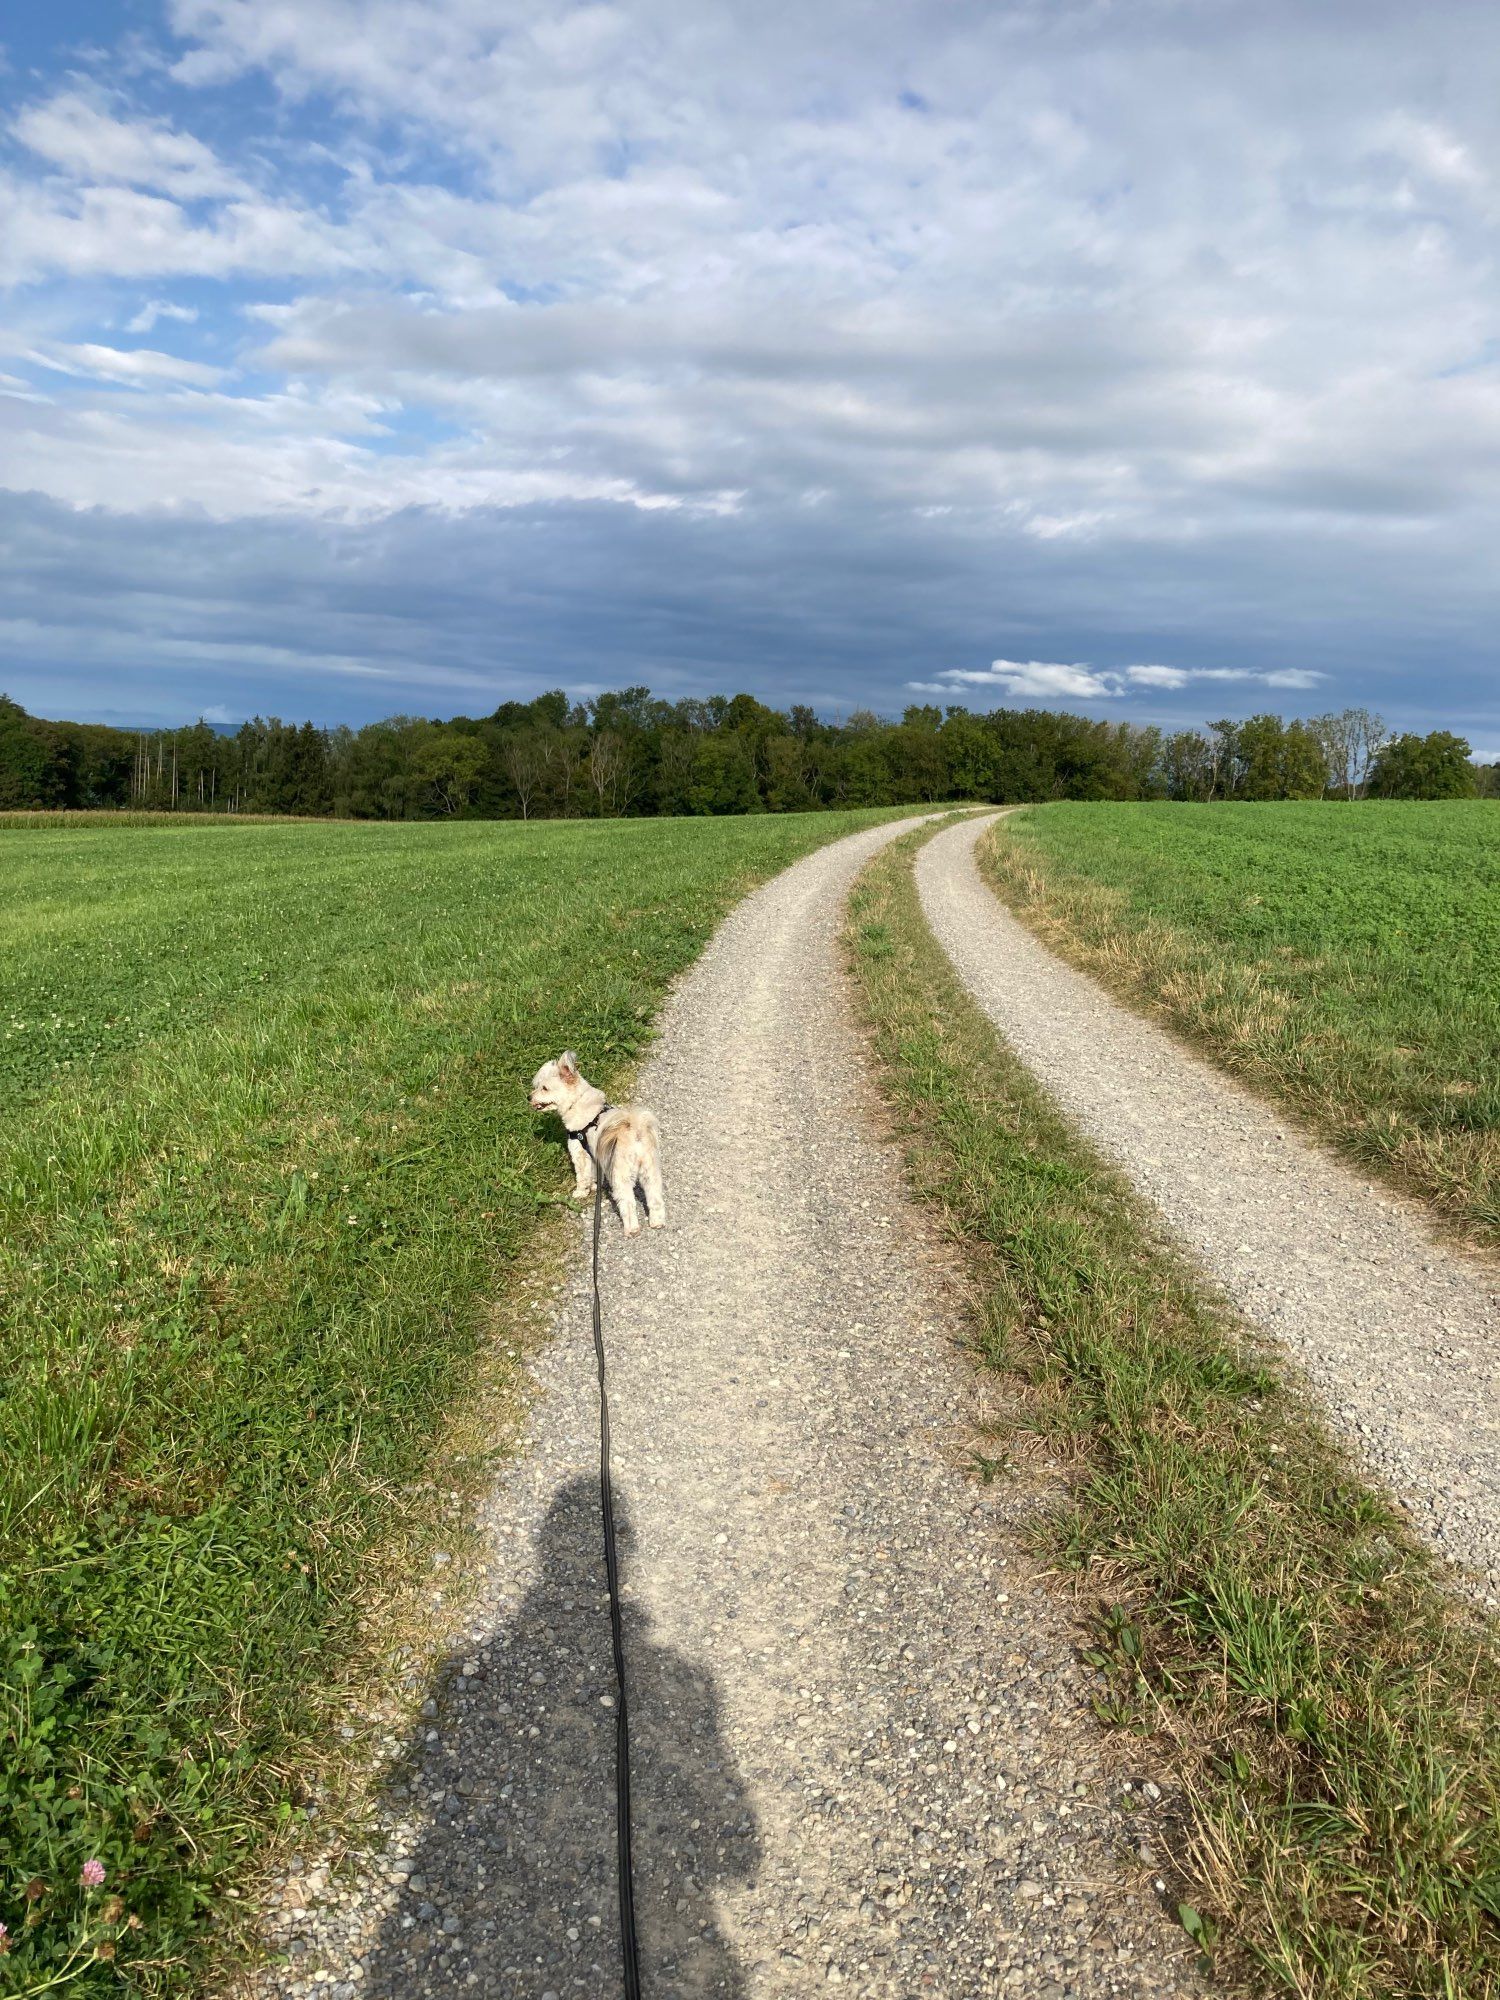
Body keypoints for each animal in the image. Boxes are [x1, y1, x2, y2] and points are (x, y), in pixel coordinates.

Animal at [532, 1048, 668, 1232]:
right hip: (650, 1170)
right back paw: (657, 1222)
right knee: (655, 1198)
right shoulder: (595, 1154)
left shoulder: (580, 1151)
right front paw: (595, 1186)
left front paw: (581, 1192)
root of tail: (635, 1131)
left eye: (544, 1088)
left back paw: (631, 1229)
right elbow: (594, 1174)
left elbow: (583, 1175)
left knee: (628, 1202)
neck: (578, 1102)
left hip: (621, 1174)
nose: (529, 1097)